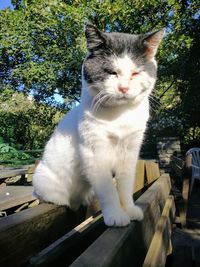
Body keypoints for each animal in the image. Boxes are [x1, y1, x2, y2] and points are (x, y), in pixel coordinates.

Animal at [33, 24, 164, 227]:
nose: (124, 88)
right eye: (111, 72)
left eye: (136, 73)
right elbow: (108, 189)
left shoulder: (130, 151)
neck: (120, 115)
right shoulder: (95, 152)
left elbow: (125, 185)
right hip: (46, 182)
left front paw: (128, 209)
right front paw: (115, 215)